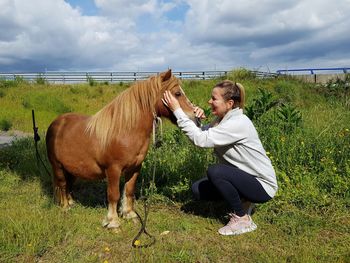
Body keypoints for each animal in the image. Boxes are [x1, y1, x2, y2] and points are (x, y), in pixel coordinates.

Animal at [45, 70, 197, 229]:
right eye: (177, 93)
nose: (195, 115)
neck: (125, 130)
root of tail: (56, 123)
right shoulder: (113, 169)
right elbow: (114, 194)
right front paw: (113, 222)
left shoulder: (135, 168)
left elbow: (129, 190)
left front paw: (129, 215)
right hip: (57, 166)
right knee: (62, 185)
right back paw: (65, 207)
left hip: (72, 169)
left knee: (68, 184)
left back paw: (71, 203)